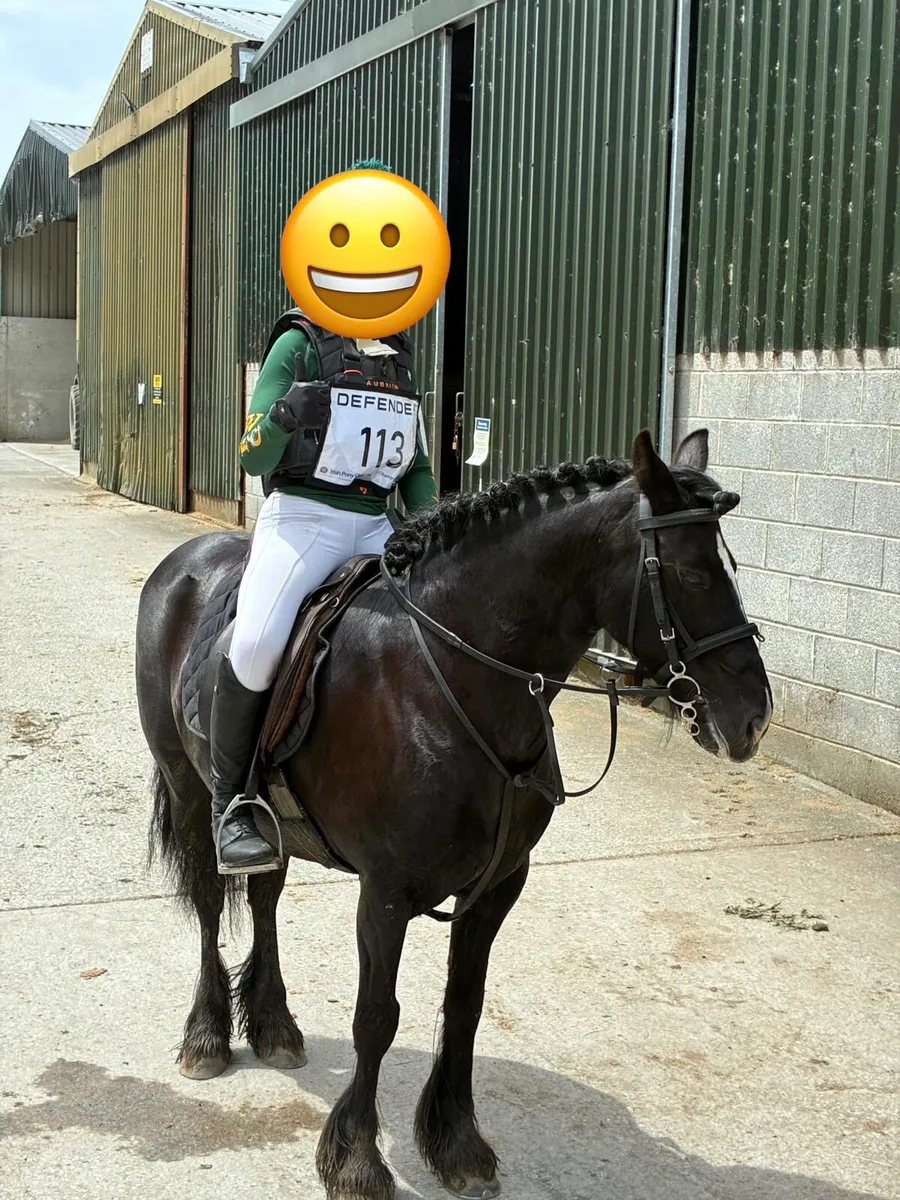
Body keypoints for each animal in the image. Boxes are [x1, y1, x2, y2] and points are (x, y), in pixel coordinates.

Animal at [135, 428, 771, 1200]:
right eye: (694, 574)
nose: (754, 718)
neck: (451, 679)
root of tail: (186, 561)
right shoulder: (385, 892)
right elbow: (376, 1018)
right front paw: (356, 1159)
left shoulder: (498, 886)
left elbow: (465, 1006)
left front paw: (458, 1144)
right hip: (189, 786)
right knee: (206, 900)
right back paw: (206, 1037)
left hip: (273, 822)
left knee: (263, 896)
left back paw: (274, 1025)